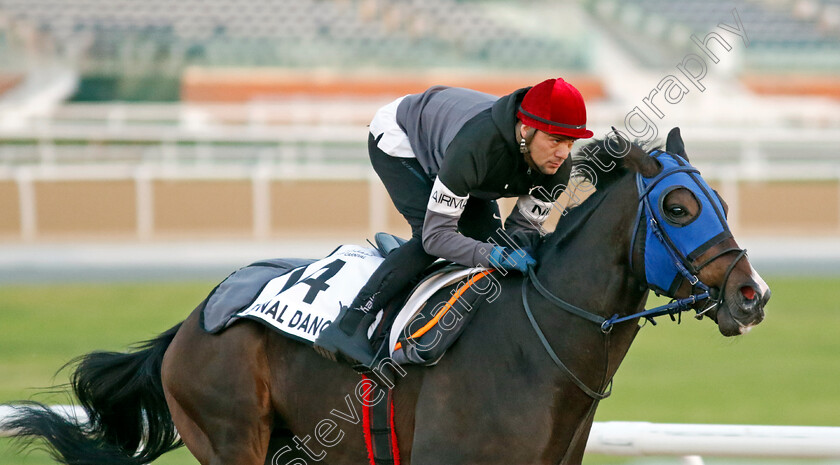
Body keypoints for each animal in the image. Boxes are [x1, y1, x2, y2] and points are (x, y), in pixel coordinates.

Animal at [4, 128, 768, 464]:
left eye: (723, 203)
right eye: (676, 207)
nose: (751, 294)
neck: (535, 350)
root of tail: (192, 322)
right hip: (229, 437)